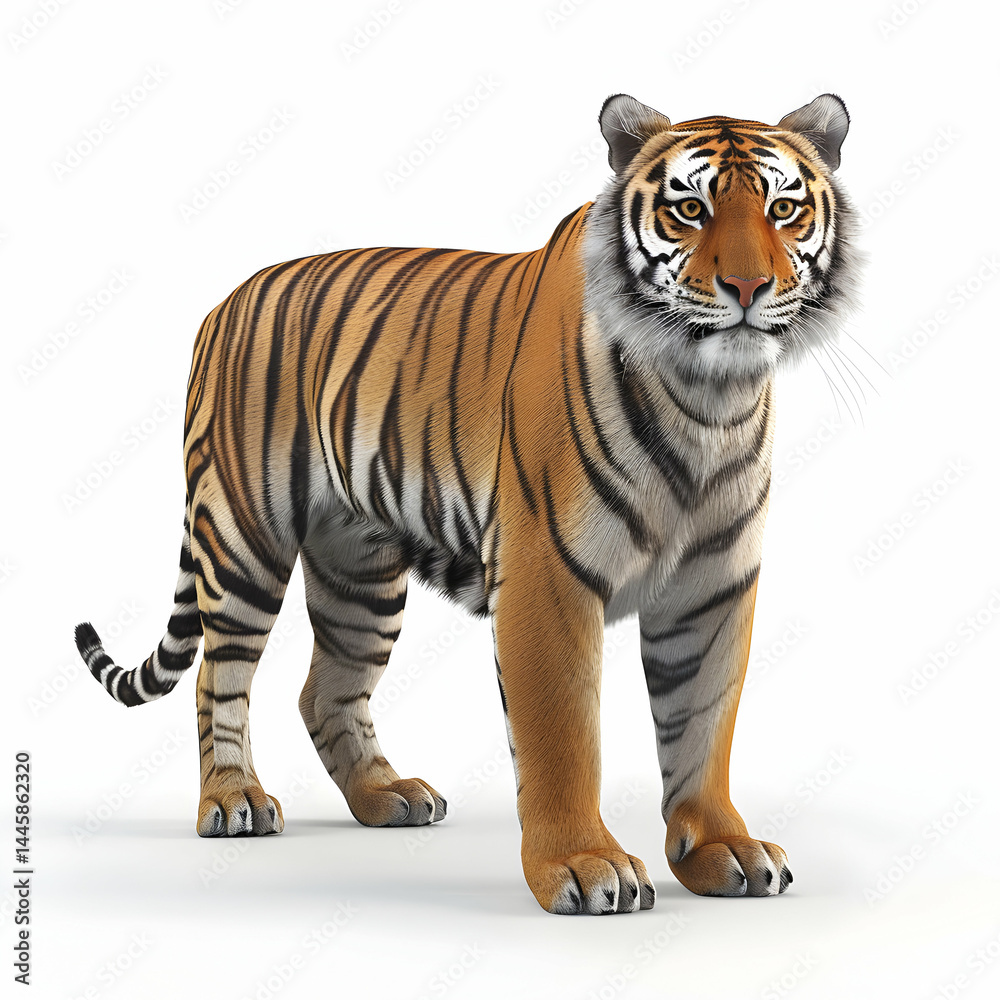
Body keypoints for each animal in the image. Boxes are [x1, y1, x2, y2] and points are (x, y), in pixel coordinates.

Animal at [75, 93, 861, 914]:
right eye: (689, 208)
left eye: (783, 208)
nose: (748, 288)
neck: (709, 400)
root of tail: (221, 305)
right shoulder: (548, 578)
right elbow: (562, 735)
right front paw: (584, 865)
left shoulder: (713, 587)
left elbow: (704, 724)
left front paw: (721, 849)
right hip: (243, 540)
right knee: (218, 676)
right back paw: (233, 800)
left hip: (360, 572)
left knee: (325, 690)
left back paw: (386, 796)